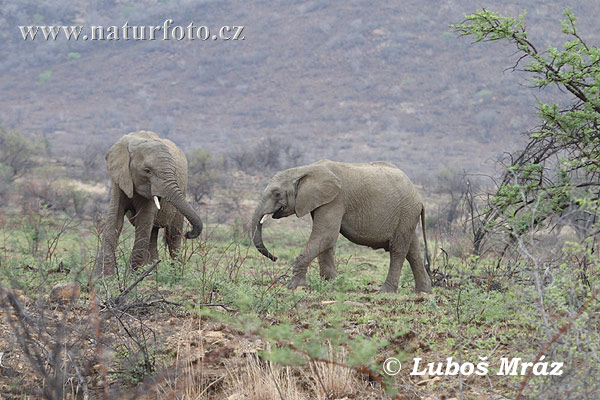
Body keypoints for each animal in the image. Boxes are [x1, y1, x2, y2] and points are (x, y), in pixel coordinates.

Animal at [97, 131, 203, 276]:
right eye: (147, 170)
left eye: (174, 172)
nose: (189, 233)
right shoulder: (120, 180)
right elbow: (114, 220)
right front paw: (104, 278)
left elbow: (143, 224)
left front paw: (128, 278)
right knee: (153, 233)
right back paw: (152, 273)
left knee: (173, 236)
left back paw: (174, 276)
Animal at [252, 159, 432, 294]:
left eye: (276, 193)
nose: (275, 258)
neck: (306, 169)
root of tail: (419, 198)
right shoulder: (322, 201)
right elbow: (326, 241)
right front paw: (330, 284)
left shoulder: (335, 200)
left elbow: (326, 235)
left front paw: (294, 286)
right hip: (407, 216)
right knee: (412, 251)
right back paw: (423, 292)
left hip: (406, 211)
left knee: (397, 250)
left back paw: (385, 292)